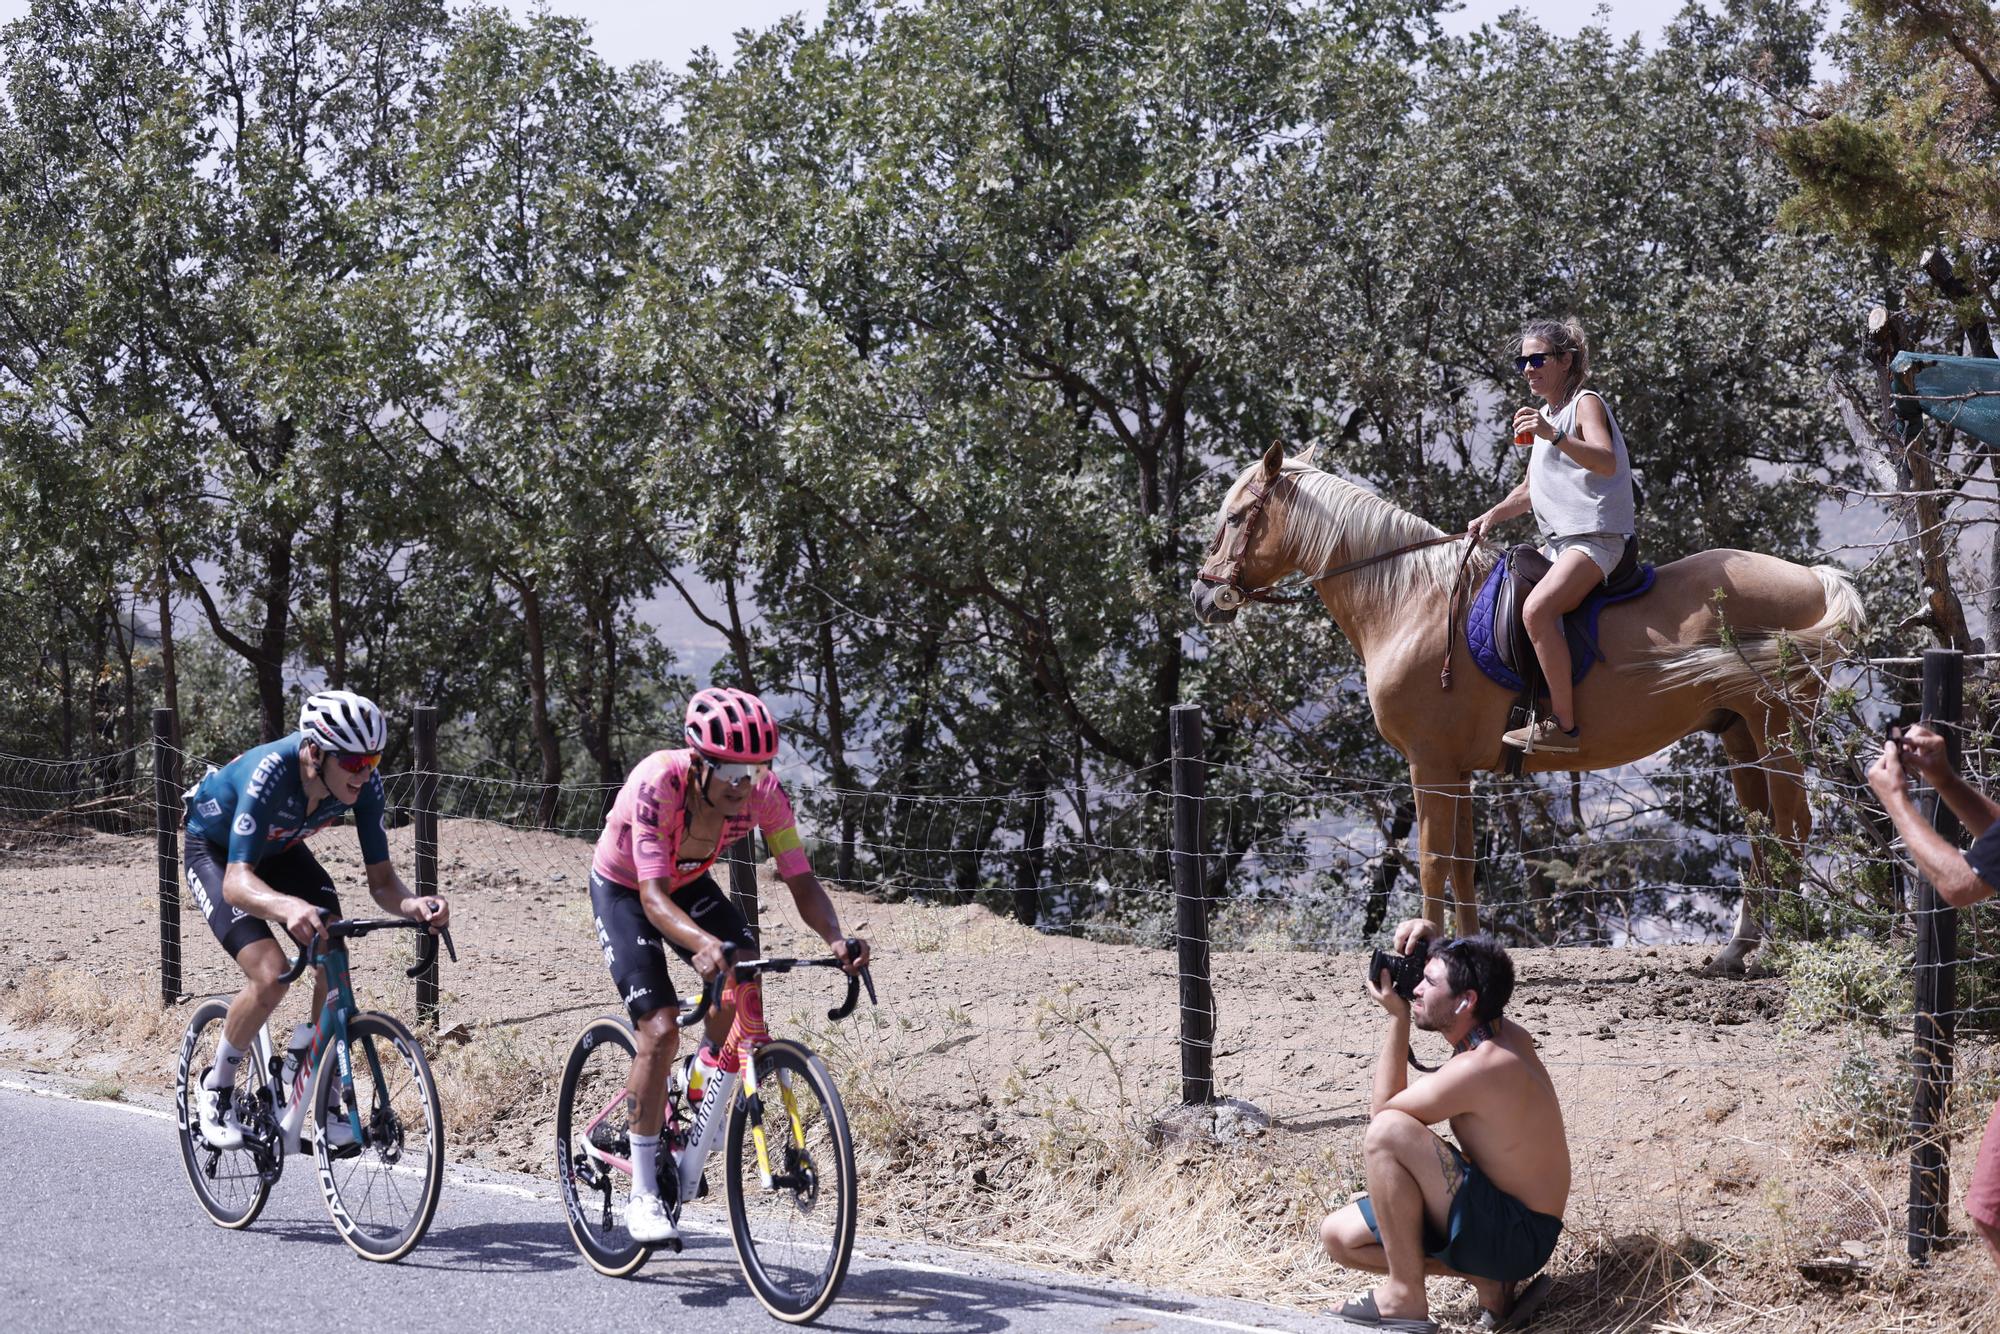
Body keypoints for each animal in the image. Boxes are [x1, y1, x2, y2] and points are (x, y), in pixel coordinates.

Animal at [1184, 444, 1856, 976]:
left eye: (1237, 516)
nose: (1201, 596)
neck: (1412, 603)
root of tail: (1812, 578)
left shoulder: (1429, 767)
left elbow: (1432, 861)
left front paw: (1420, 958)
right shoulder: (1455, 772)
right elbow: (1462, 865)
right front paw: (1461, 953)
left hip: (1776, 729)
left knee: (1793, 828)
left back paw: (1780, 949)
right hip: (1740, 736)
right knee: (1764, 835)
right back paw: (1737, 952)